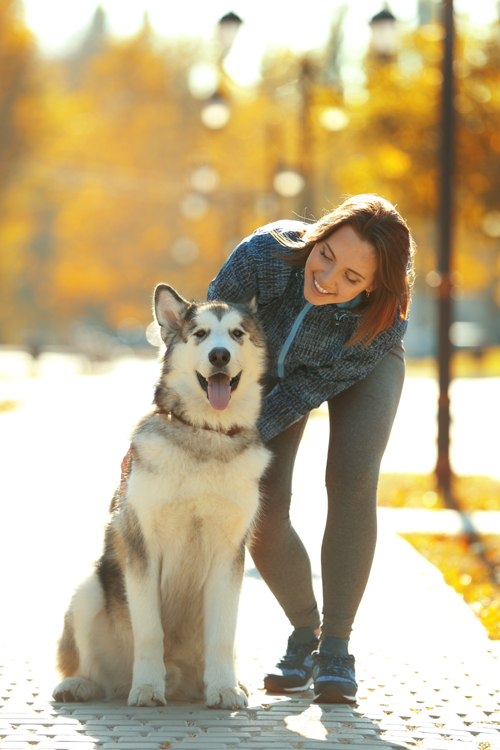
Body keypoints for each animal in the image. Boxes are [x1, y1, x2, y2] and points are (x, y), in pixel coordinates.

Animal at [53, 284, 272, 712]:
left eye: (237, 334)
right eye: (200, 334)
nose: (219, 356)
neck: (206, 434)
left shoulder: (230, 553)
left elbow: (222, 635)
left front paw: (225, 689)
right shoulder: (143, 549)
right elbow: (149, 631)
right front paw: (147, 688)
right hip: (89, 590)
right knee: (92, 669)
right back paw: (81, 685)